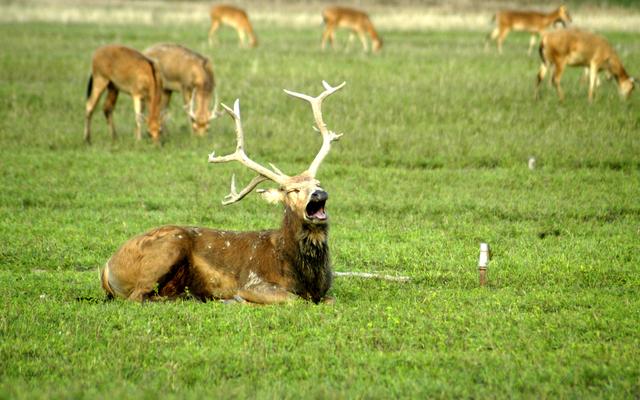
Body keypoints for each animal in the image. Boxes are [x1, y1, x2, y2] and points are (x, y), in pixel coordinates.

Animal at [99, 82, 344, 306]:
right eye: (292, 190)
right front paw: (238, 299)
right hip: (169, 246)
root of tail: (107, 267)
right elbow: (296, 300)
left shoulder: (324, 291)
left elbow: (331, 299)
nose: (319, 194)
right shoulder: (253, 283)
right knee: (137, 297)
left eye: (317, 182)